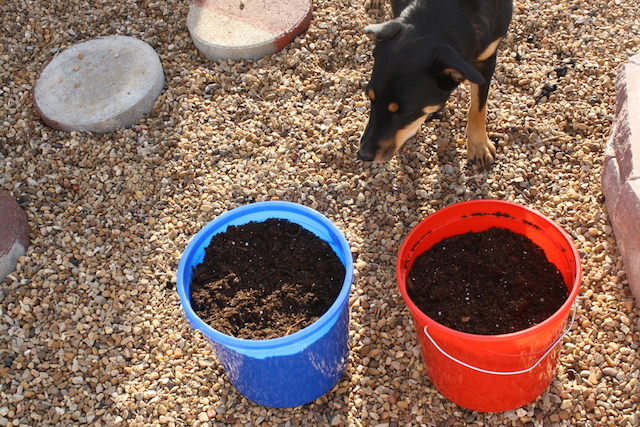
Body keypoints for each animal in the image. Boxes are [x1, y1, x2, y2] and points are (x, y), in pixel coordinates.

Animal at [358, 0, 512, 166]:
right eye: (370, 98)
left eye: (406, 113)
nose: (362, 155)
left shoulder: (487, 59)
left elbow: (478, 106)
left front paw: (479, 146)